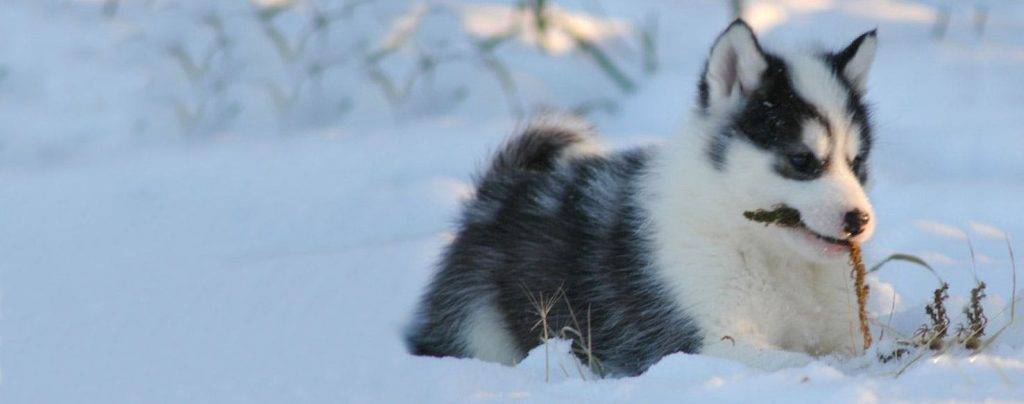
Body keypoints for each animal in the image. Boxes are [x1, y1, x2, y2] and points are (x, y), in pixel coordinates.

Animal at [407, 19, 880, 376]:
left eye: (857, 162)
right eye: (802, 159)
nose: (859, 220)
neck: (770, 253)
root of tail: (498, 191)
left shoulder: (840, 326)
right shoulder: (711, 340)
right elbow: (799, 362)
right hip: (479, 325)